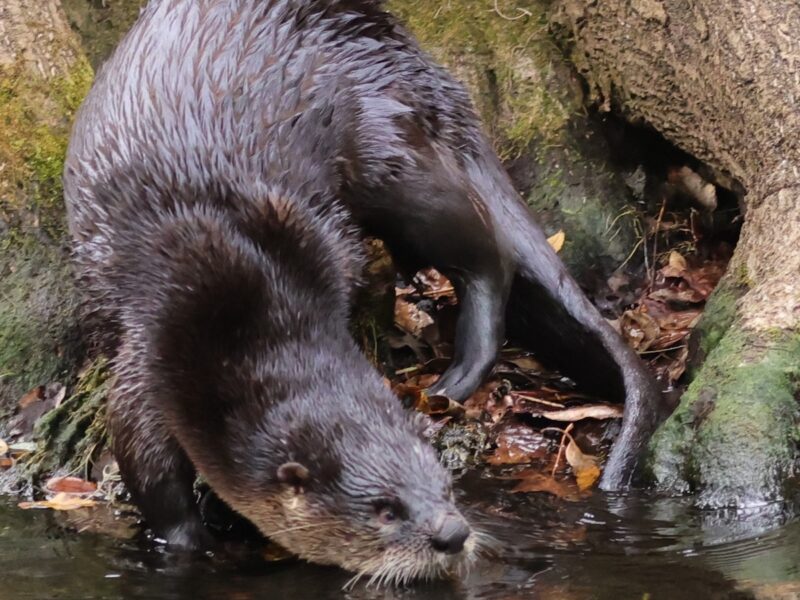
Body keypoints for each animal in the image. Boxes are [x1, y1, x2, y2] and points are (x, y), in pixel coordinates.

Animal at [63, 0, 665, 580]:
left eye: (446, 487)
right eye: (385, 509)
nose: (453, 532)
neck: (237, 298)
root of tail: (391, 41)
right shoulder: (150, 353)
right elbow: (146, 465)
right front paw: (192, 544)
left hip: (388, 145)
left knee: (485, 253)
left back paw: (457, 375)